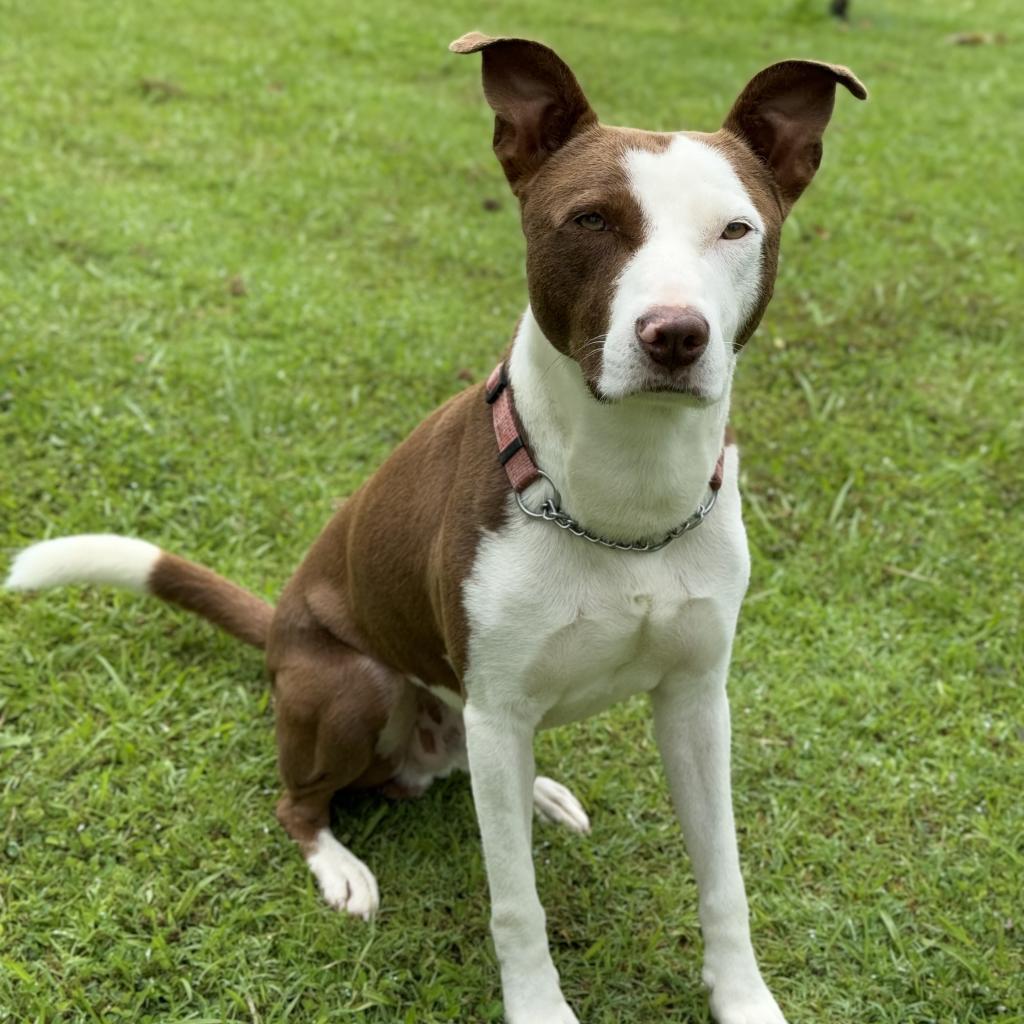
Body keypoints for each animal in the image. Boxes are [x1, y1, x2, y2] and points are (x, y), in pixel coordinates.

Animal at [6, 32, 864, 1024]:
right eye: (590, 221)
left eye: (736, 230)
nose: (676, 336)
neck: (624, 503)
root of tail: (279, 631)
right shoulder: (503, 704)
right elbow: (516, 902)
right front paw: (539, 1008)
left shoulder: (696, 700)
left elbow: (724, 876)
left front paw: (744, 997)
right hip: (353, 686)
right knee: (300, 801)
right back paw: (340, 863)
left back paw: (539, 791)